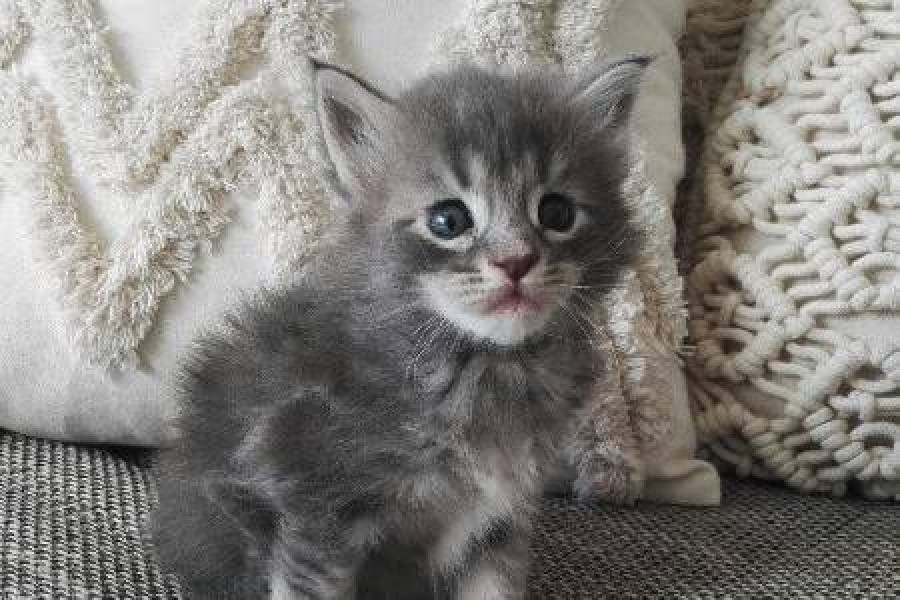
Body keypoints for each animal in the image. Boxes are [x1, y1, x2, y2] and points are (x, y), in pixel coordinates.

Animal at [150, 55, 647, 599]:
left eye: (556, 212)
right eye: (449, 220)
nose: (515, 261)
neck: (486, 367)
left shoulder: (501, 515)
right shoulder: (312, 493)